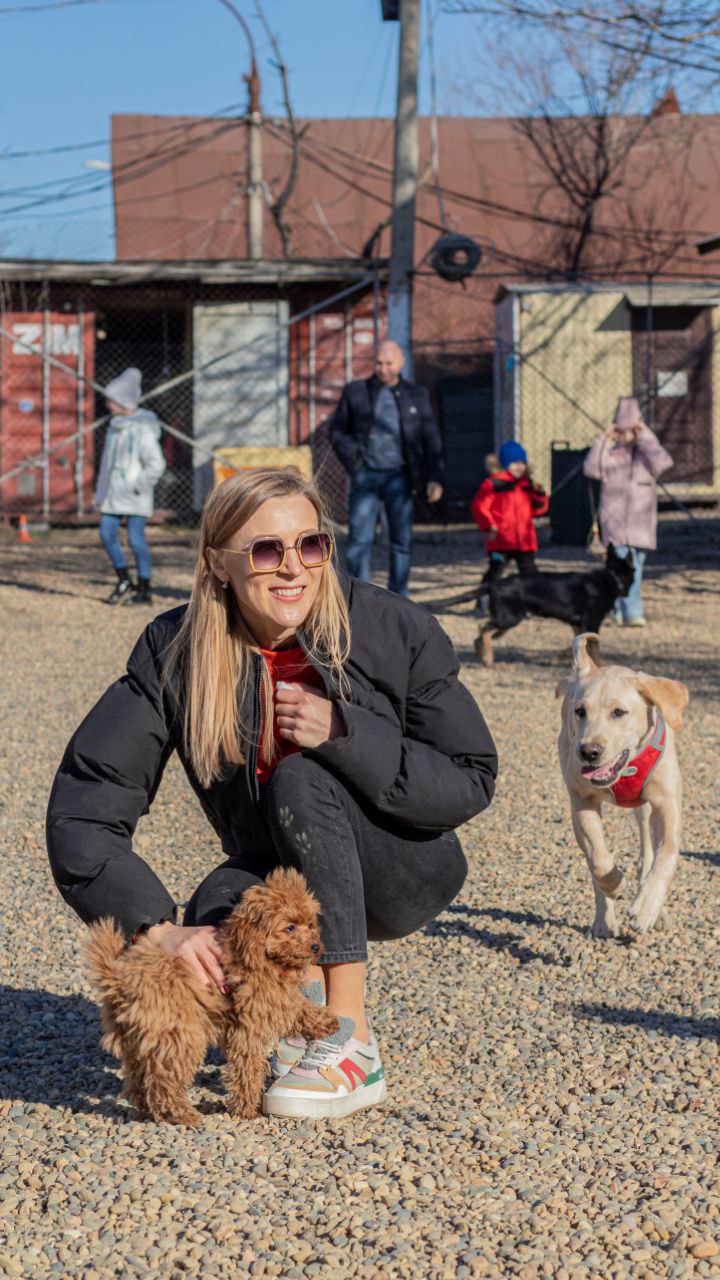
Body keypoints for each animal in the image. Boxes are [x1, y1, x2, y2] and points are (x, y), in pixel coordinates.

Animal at [474, 542, 630, 670]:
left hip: (507, 618)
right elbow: (594, 646)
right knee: (484, 630)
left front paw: (558, 658)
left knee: (479, 635)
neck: (612, 577)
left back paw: (480, 654)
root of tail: (494, 584)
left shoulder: (577, 623)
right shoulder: (592, 620)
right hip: (510, 618)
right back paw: (488, 658)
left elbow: (579, 642)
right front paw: (601, 663)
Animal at [556, 632, 681, 942]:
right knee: (593, 861)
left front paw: (647, 909)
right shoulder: (582, 800)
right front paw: (614, 885)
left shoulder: (667, 803)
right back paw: (603, 921)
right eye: (580, 711)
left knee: (647, 852)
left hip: (645, 808)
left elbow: (666, 853)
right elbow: (599, 859)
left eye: (619, 712)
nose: (588, 752)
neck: (625, 769)